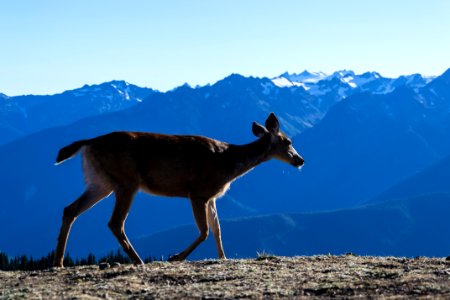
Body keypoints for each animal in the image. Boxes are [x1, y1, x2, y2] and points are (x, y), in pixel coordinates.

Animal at [54, 113, 304, 268]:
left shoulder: (212, 197)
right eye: (288, 141)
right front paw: (176, 256)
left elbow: (217, 229)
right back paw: (138, 260)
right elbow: (204, 231)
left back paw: (59, 262)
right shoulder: (198, 192)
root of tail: (89, 142)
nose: (300, 160)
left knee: (70, 209)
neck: (229, 163)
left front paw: (223, 258)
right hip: (126, 182)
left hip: (101, 182)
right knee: (115, 222)